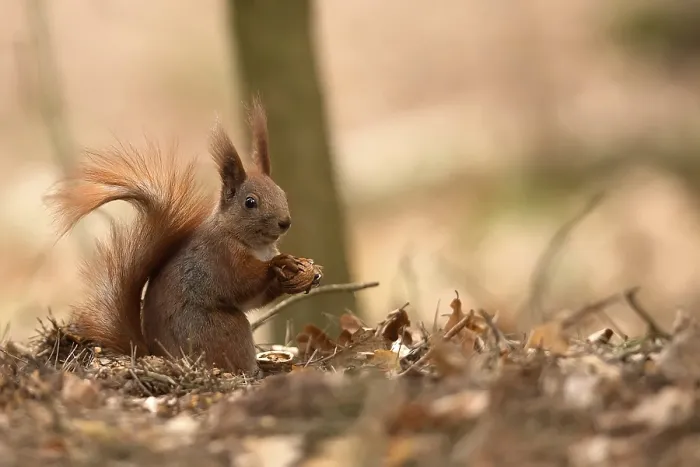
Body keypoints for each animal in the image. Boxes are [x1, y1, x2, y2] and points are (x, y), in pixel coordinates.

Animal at [45, 99, 322, 375]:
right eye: (250, 202)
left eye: (282, 193)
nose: (285, 222)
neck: (253, 244)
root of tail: (156, 354)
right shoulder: (221, 257)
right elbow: (243, 283)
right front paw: (278, 264)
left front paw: (308, 274)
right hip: (223, 330)